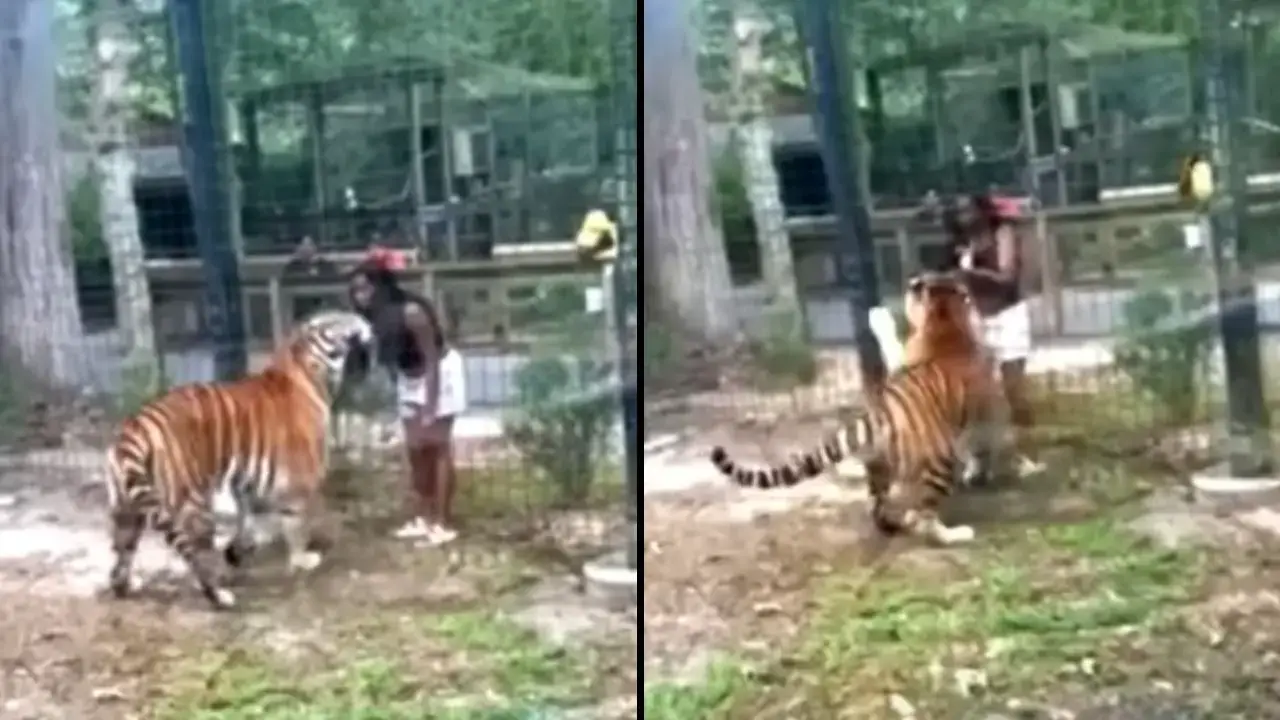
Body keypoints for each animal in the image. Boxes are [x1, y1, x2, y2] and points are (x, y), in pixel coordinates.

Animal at [104, 307, 373, 604]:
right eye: (337, 319)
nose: (365, 322)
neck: (308, 364)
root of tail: (134, 429)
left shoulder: (247, 483)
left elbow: (247, 521)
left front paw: (237, 552)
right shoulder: (300, 477)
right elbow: (296, 524)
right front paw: (302, 559)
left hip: (127, 509)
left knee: (121, 553)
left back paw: (125, 586)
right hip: (192, 504)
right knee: (196, 554)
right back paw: (218, 593)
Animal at [711, 271, 998, 545]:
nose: (914, 281)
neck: (944, 321)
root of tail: (880, 414)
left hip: (883, 466)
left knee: (882, 510)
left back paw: (907, 521)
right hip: (936, 462)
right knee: (922, 518)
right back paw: (952, 533)